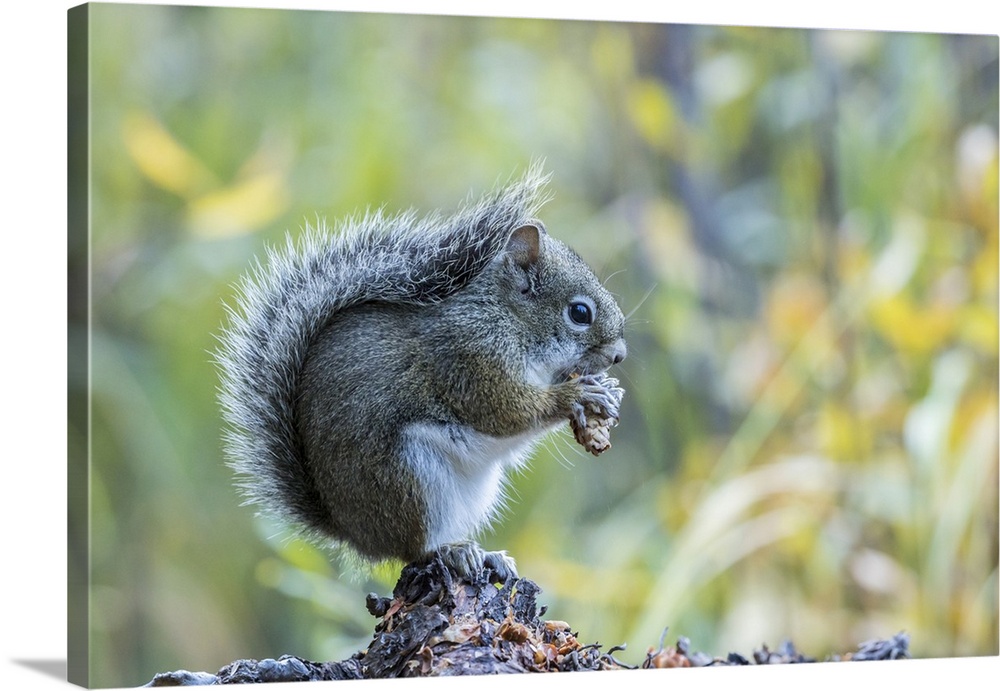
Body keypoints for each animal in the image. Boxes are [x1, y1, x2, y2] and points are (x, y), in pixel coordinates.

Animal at [217, 168, 624, 584]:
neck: (507, 318)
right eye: (579, 312)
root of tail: (354, 533)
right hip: (410, 478)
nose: (619, 356)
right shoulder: (468, 357)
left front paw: (607, 389)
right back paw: (452, 551)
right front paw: (575, 396)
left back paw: (487, 555)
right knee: (414, 550)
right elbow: (506, 410)